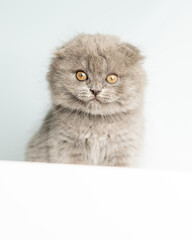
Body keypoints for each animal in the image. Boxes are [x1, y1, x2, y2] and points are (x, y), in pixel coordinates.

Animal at [25, 33, 146, 167]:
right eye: (81, 75)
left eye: (112, 78)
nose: (95, 90)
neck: (97, 124)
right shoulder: (65, 144)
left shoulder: (123, 149)